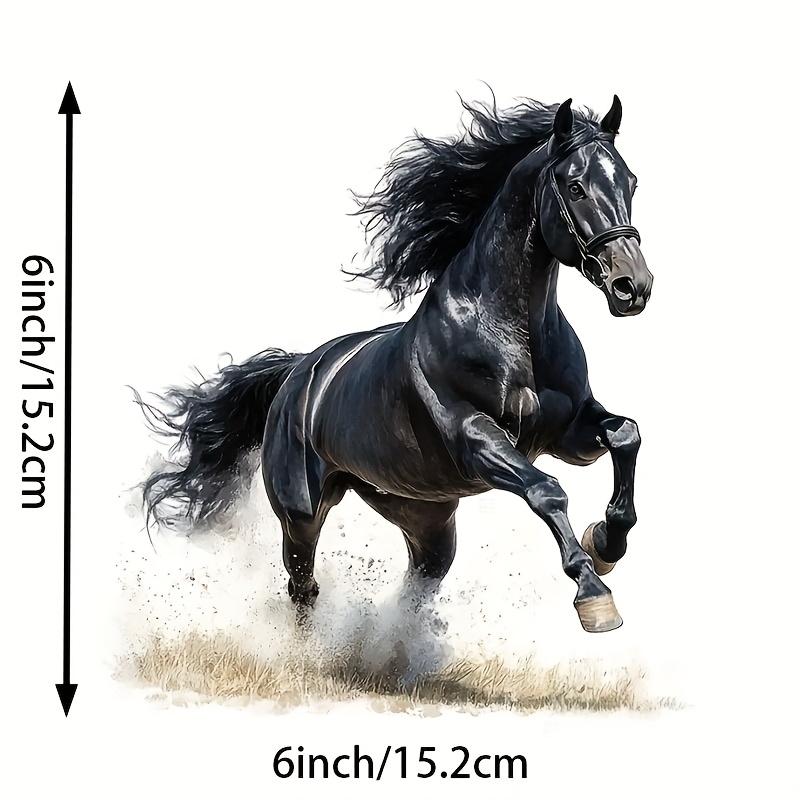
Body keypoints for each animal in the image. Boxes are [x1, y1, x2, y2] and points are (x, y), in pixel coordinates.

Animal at [140, 94, 653, 633]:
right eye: (575, 186)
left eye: (631, 181)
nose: (632, 286)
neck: (514, 335)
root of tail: (296, 375)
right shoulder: (477, 439)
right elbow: (547, 491)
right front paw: (594, 594)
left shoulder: (566, 433)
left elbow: (626, 434)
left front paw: (606, 543)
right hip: (301, 515)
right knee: (303, 586)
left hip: (423, 516)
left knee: (416, 584)